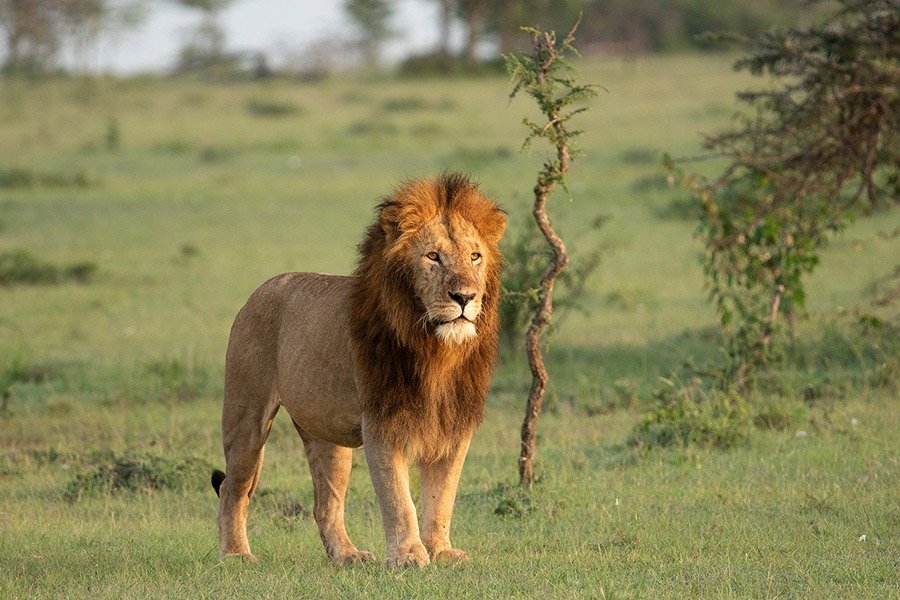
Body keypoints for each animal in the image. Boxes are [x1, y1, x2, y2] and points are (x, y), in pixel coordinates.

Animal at [212, 173, 506, 567]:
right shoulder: (382, 421)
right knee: (233, 488)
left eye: (475, 257)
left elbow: (442, 496)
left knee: (326, 504)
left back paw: (347, 555)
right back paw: (236, 554)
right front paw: (408, 556)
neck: (436, 351)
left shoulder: (454, 425)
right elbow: (399, 499)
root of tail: (261, 289)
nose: (465, 297)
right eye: (433, 256)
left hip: (326, 434)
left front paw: (441, 551)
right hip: (246, 415)